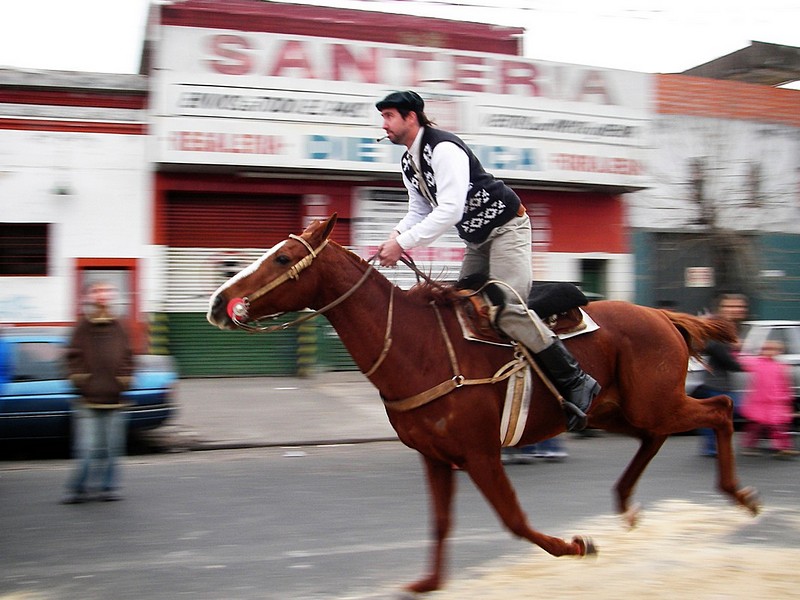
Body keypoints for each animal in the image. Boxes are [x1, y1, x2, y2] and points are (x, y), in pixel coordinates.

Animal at [205, 213, 756, 592]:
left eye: (281, 259)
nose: (218, 302)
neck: (418, 345)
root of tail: (664, 318)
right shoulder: (436, 457)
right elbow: (441, 522)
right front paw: (427, 584)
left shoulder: (481, 453)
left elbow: (514, 520)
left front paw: (575, 546)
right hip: (618, 412)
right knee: (657, 436)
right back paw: (627, 505)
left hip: (651, 404)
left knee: (721, 409)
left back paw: (740, 495)